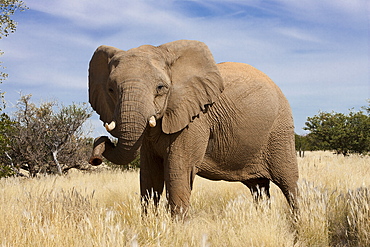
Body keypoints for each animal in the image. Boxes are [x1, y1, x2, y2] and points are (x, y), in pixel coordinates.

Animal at [88, 39, 300, 215]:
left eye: (161, 88)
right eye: (111, 89)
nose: (95, 158)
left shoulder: (195, 120)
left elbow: (177, 173)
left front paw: (176, 231)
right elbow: (149, 178)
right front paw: (150, 225)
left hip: (279, 131)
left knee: (289, 185)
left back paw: (297, 222)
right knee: (259, 188)